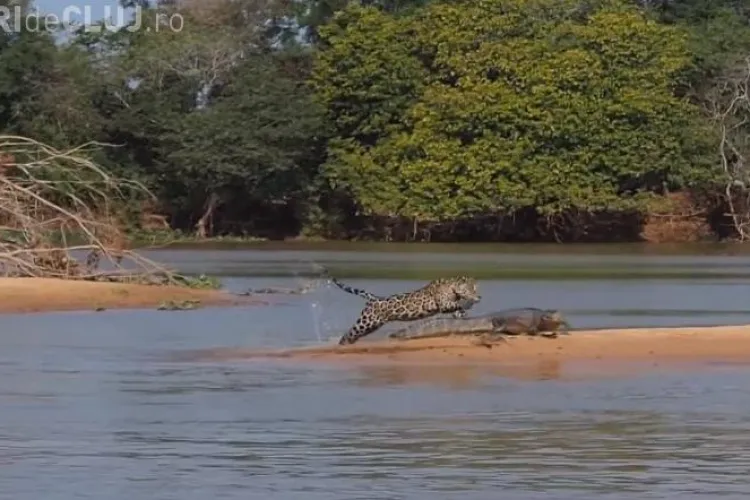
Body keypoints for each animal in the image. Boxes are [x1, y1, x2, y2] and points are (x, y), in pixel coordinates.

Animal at [328, 274, 482, 345]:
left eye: (476, 289)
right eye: (471, 289)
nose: (479, 296)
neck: (452, 287)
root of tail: (374, 298)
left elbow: (457, 309)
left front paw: (461, 313)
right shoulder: (444, 303)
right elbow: (457, 304)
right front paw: (466, 306)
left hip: (372, 325)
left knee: (353, 335)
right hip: (365, 322)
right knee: (349, 333)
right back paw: (341, 344)